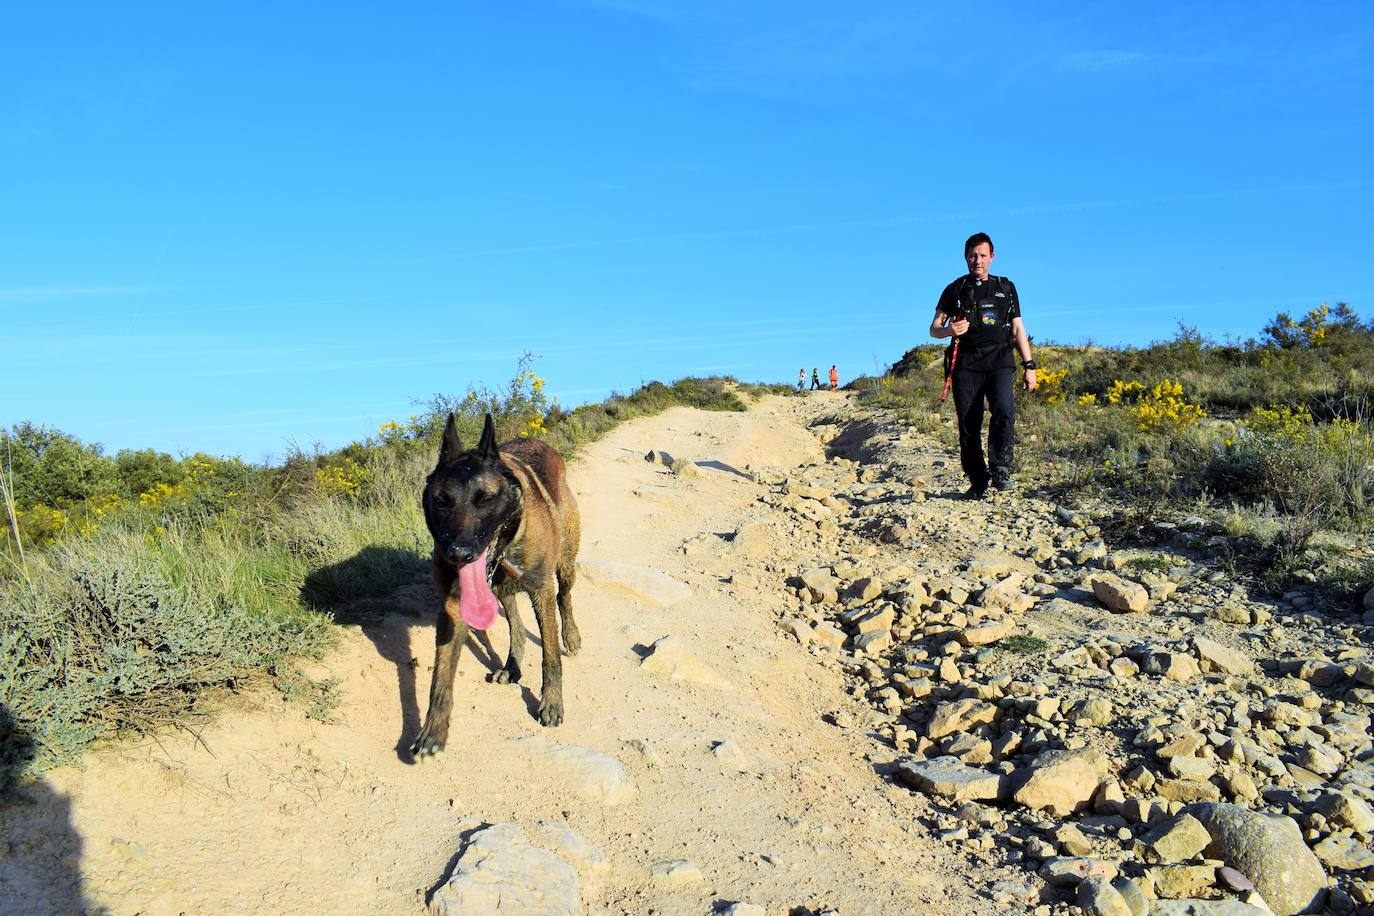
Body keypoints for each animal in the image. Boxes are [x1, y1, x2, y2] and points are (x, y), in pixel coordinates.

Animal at [406, 409, 579, 758]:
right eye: (441, 501)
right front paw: (433, 729)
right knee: (516, 626)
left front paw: (551, 702)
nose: (458, 553)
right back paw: (511, 667)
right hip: (501, 591)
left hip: (565, 562)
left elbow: (550, 653)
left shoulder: (541, 590)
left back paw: (571, 635)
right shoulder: (454, 607)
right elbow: (440, 674)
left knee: (565, 598)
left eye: (484, 498)